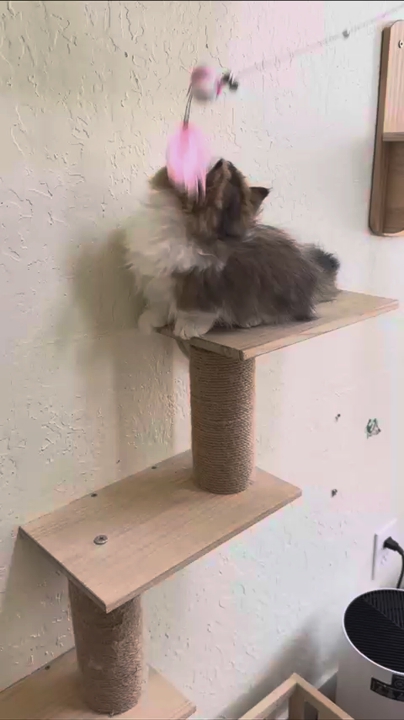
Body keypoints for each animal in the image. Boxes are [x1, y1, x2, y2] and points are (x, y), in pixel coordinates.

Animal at [123, 159, 340, 340]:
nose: (223, 161)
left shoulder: (205, 281)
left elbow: (196, 310)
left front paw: (188, 327)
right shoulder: (157, 279)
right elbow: (159, 303)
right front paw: (149, 321)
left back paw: (251, 320)